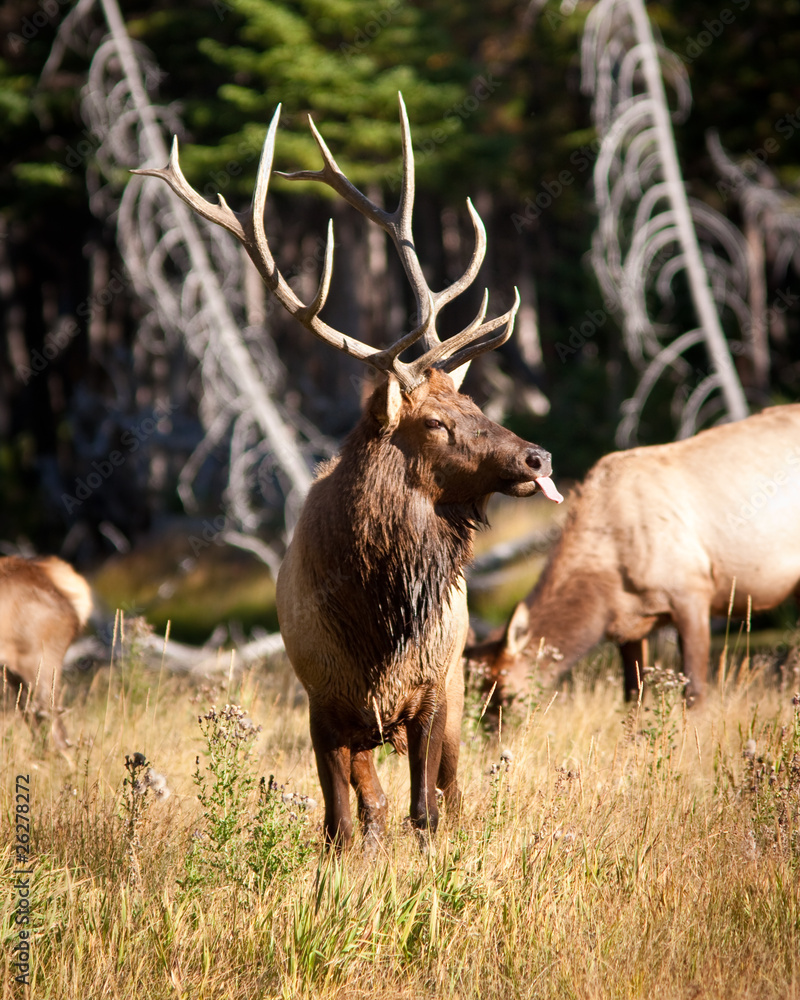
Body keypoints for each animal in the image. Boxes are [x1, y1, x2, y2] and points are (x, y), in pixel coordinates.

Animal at [135, 95, 563, 850]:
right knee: (373, 808)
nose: (536, 457)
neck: (374, 624)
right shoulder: (321, 704)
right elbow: (340, 824)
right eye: (436, 423)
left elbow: (427, 811)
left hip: (457, 691)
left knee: (449, 794)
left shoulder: (432, 694)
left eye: (477, 404)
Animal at [466, 405, 800, 711]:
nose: (486, 735)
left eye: (503, 695)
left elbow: (694, 694)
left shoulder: (693, 593)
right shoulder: (630, 626)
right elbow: (633, 697)